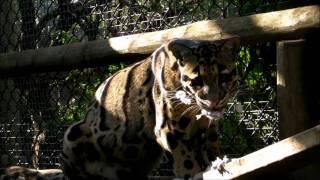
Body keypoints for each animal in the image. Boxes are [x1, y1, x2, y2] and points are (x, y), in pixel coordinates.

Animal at [61, 37, 239, 179]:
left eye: (224, 77)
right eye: (198, 81)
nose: (214, 101)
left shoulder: (208, 130)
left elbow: (212, 152)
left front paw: (218, 164)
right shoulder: (169, 130)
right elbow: (187, 165)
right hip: (72, 133)